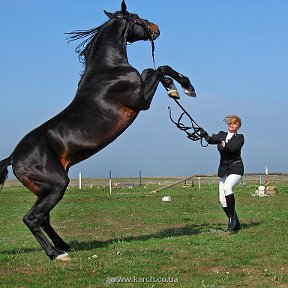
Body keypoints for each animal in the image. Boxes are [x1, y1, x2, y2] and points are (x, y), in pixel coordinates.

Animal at [0, 1, 196, 260]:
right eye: (137, 17)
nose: (156, 27)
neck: (109, 69)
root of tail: (13, 157)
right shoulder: (140, 100)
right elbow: (161, 68)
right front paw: (185, 87)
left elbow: (150, 70)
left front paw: (173, 88)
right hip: (56, 185)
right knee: (32, 218)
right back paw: (56, 254)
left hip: (45, 191)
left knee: (44, 218)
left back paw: (63, 246)